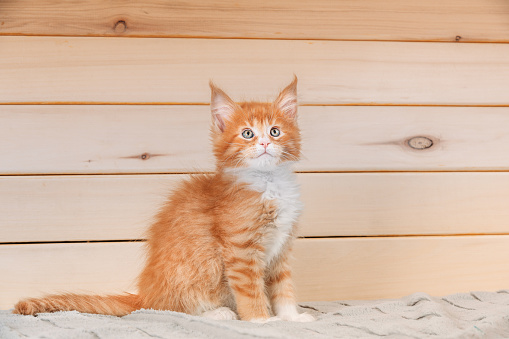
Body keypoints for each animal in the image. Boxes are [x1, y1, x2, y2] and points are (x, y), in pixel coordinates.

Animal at [12, 77, 314, 324]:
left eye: (274, 131)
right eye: (247, 133)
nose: (264, 143)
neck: (269, 182)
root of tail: (145, 293)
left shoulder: (281, 249)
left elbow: (283, 287)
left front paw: (291, 318)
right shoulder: (240, 251)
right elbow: (250, 291)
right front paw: (262, 321)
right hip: (199, 269)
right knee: (170, 308)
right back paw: (219, 313)